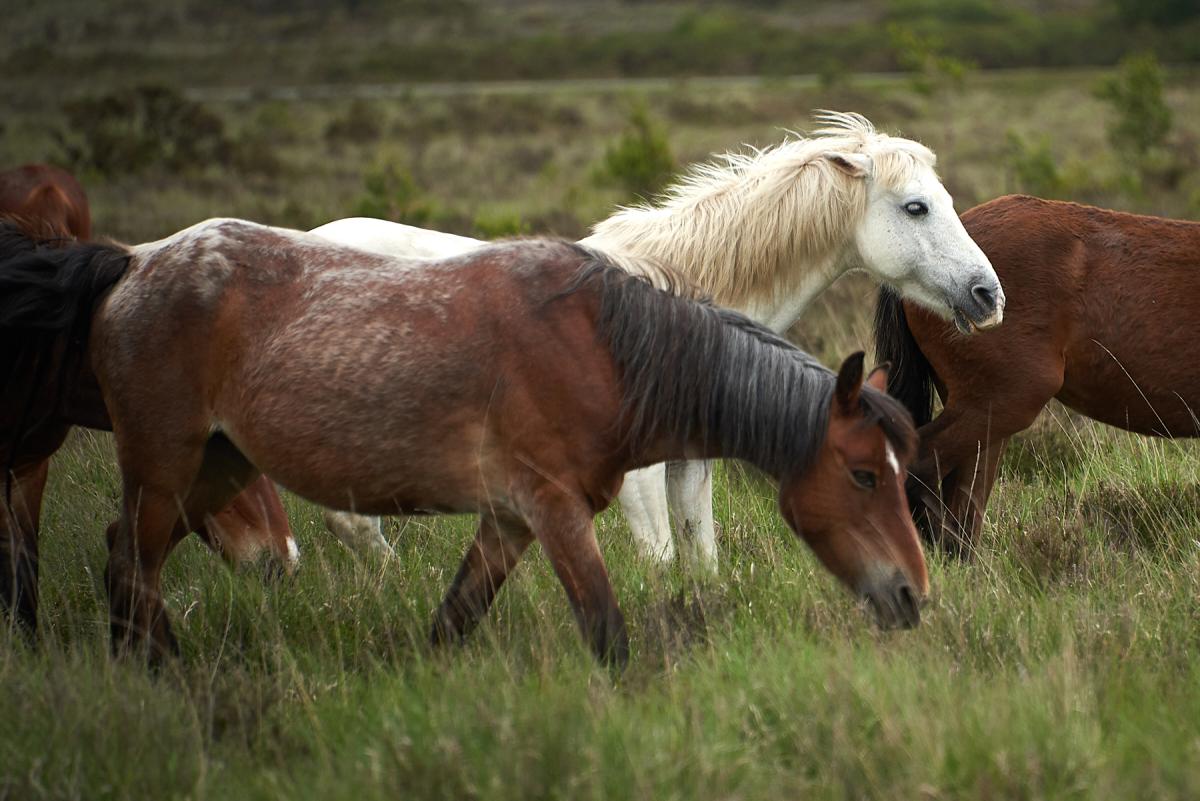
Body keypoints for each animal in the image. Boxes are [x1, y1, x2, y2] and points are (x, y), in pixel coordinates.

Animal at [309, 111, 1003, 569]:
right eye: (916, 207)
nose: (988, 295)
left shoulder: (688, 460)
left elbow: (701, 556)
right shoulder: (634, 473)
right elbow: (662, 560)